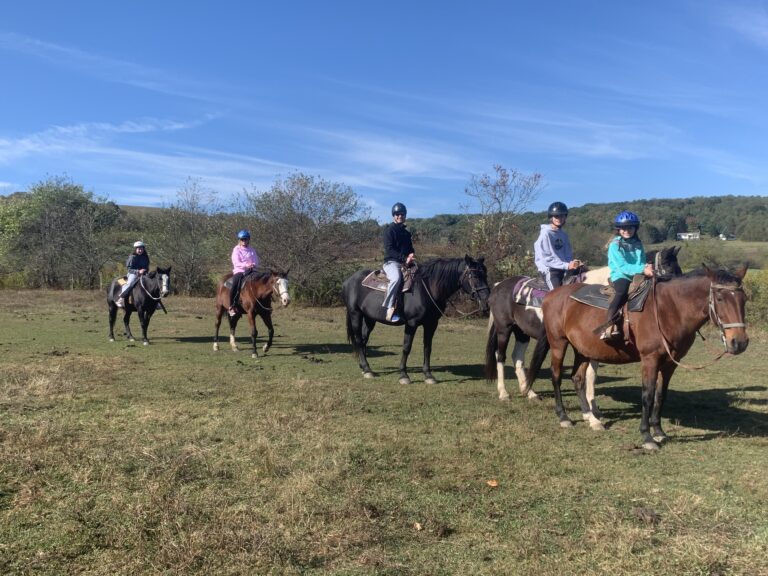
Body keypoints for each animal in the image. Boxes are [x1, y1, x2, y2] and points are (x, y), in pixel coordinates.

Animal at [344, 255, 492, 382]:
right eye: (474, 275)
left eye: (485, 275)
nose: (487, 302)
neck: (428, 288)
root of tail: (350, 279)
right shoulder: (412, 323)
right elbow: (406, 347)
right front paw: (403, 375)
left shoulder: (431, 324)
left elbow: (427, 347)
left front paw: (428, 375)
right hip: (355, 314)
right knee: (359, 340)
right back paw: (367, 370)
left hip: (369, 319)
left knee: (364, 339)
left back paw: (364, 367)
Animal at [484, 248, 680, 418]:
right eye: (670, 268)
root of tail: (499, 285)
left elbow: (591, 375)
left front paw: (594, 409)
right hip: (504, 329)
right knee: (500, 356)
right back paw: (503, 393)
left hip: (521, 333)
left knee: (517, 358)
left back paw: (529, 392)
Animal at [540, 266, 752, 450]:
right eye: (720, 298)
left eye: (744, 299)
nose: (739, 342)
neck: (670, 310)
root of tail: (551, 295)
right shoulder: (650, 360)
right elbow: (647, 396)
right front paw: (647, 436)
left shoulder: (669, 364)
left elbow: (660, 395)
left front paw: (659, 431)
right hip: (558, 343)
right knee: (556, 375)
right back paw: (564, 417)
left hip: (583, 350)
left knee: (577, 378)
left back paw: (592, 419)